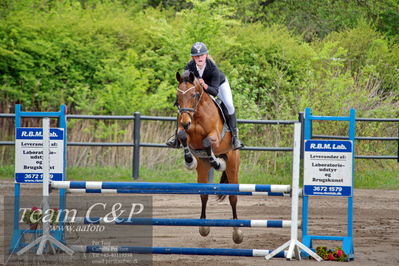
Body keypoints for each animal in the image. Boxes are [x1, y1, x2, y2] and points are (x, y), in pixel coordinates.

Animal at [176, 70, 244, 243]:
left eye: (194, 95)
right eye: (178, 96)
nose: (185, 121)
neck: (197, 113)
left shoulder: (215, 136)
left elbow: (207, 141)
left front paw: (217, 162)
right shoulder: (188, 135)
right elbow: (182, 135)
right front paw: (189, 160)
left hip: (233, 165)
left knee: (233, 198)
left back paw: (237, 233)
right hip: (202, 168)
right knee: (204, 195)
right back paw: (204, 227)